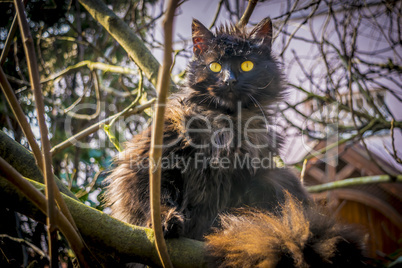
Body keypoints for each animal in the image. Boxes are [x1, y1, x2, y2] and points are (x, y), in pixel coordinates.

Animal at [104, 17, 368, 266]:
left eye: (246, 64)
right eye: (214, 66)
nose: (229, 80)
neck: (226, 124)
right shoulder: (151, 159)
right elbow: (153, 199)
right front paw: (165, 222)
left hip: (275, 178)